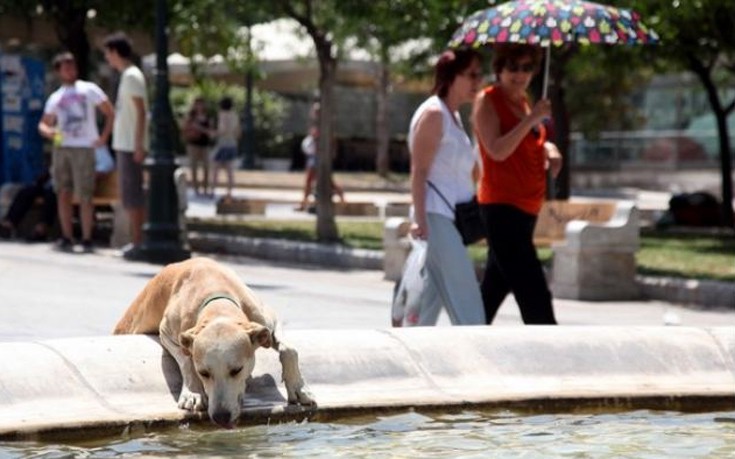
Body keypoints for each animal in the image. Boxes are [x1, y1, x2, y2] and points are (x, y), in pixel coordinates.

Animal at [113, 256, 314, 430]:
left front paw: (300, 388)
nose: (221, 417)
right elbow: (186, 360)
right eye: (203, 373)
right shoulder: (167, 332)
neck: (218, 300)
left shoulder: (267, 319)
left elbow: (289, 349)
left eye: (237, 370)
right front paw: (193, 392)